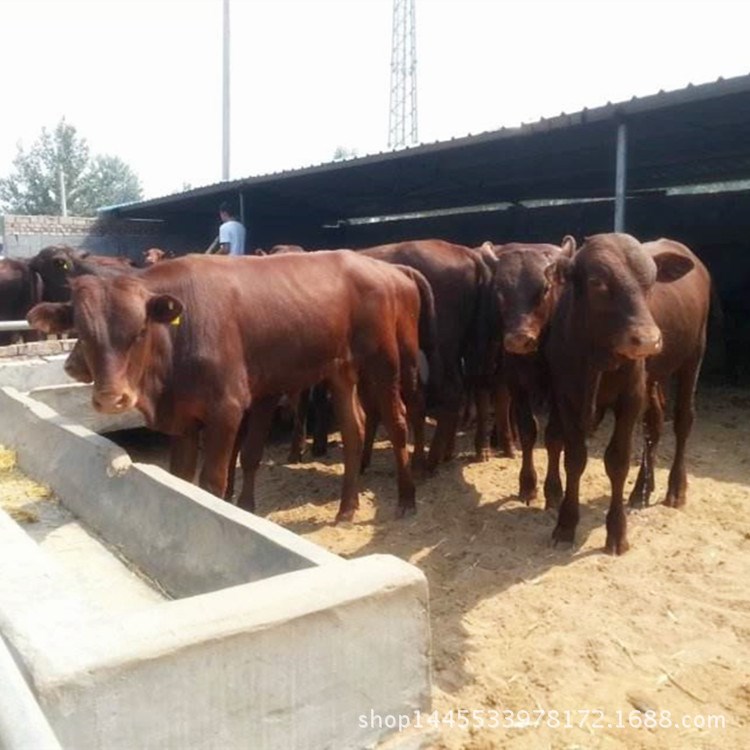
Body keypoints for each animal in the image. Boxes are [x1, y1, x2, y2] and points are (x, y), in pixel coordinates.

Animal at [27, 253, 434, 524]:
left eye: (140, 330)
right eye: (81, 331)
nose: (112, 398)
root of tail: (384, 266)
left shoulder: (227, 410)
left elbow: (214, 478)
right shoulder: (185, 418)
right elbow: (182, 478)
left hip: (387, 363)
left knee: (398, 423)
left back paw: (407, 499)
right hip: (340, 370)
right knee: (354, 430)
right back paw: (347, 508)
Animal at [544, 235, 696, 560]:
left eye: (651, 281)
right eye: (597, 281)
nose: (648, 340)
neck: (596, 356)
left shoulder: (630, 398)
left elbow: (617, 461)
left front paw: (616, 532)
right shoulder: (566, 397)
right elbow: (574, 458)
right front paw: (565, 525)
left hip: (692, 359)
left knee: (682, 422)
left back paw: (675, 488)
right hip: (654, 378)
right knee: (654, 425)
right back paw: (641, 490)